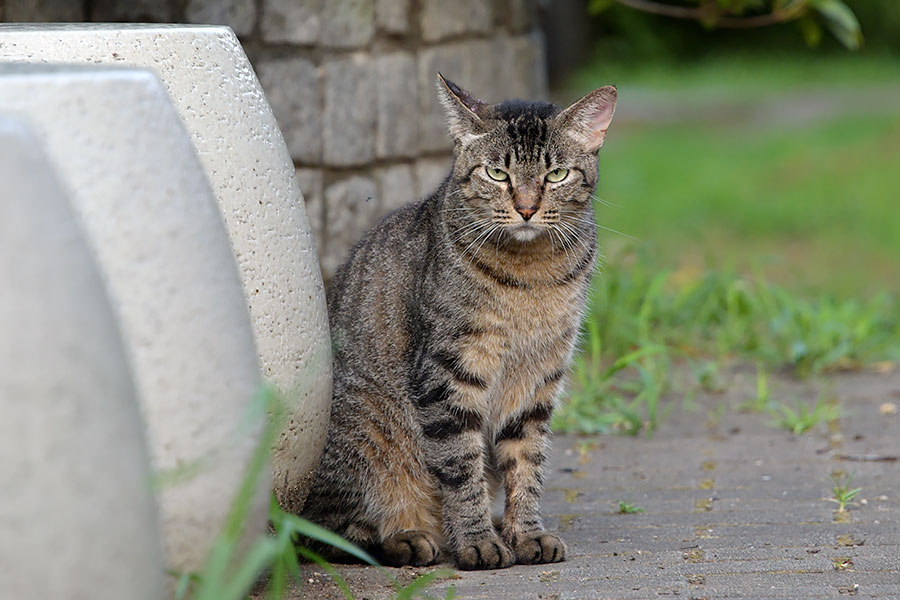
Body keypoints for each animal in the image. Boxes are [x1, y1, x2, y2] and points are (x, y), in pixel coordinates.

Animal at [298, 76, 616, 572]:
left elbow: (527, 464)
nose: (526, 208)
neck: (532, 276)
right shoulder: (449, 371)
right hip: (364, 434)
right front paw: (478, 541)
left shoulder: (538, 379)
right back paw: (407, 539)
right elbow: (461, 467)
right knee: (329, 535)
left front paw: (526, 533)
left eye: (556, 175)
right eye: (498, 174)